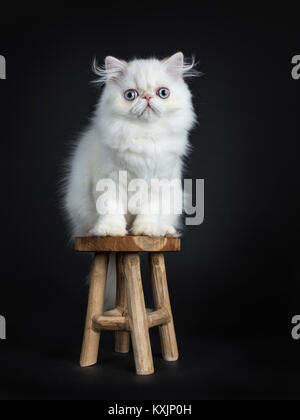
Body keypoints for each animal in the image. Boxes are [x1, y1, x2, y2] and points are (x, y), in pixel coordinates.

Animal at [63, 50, 197, 238]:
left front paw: (146, 230)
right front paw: (110, 231)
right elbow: (110, 208)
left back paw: (165, 230)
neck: (144, 135)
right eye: (130, 95)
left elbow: (149, 211)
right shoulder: (110, 179)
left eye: (163, 93)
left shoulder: (158, 182)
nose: (147, 96)